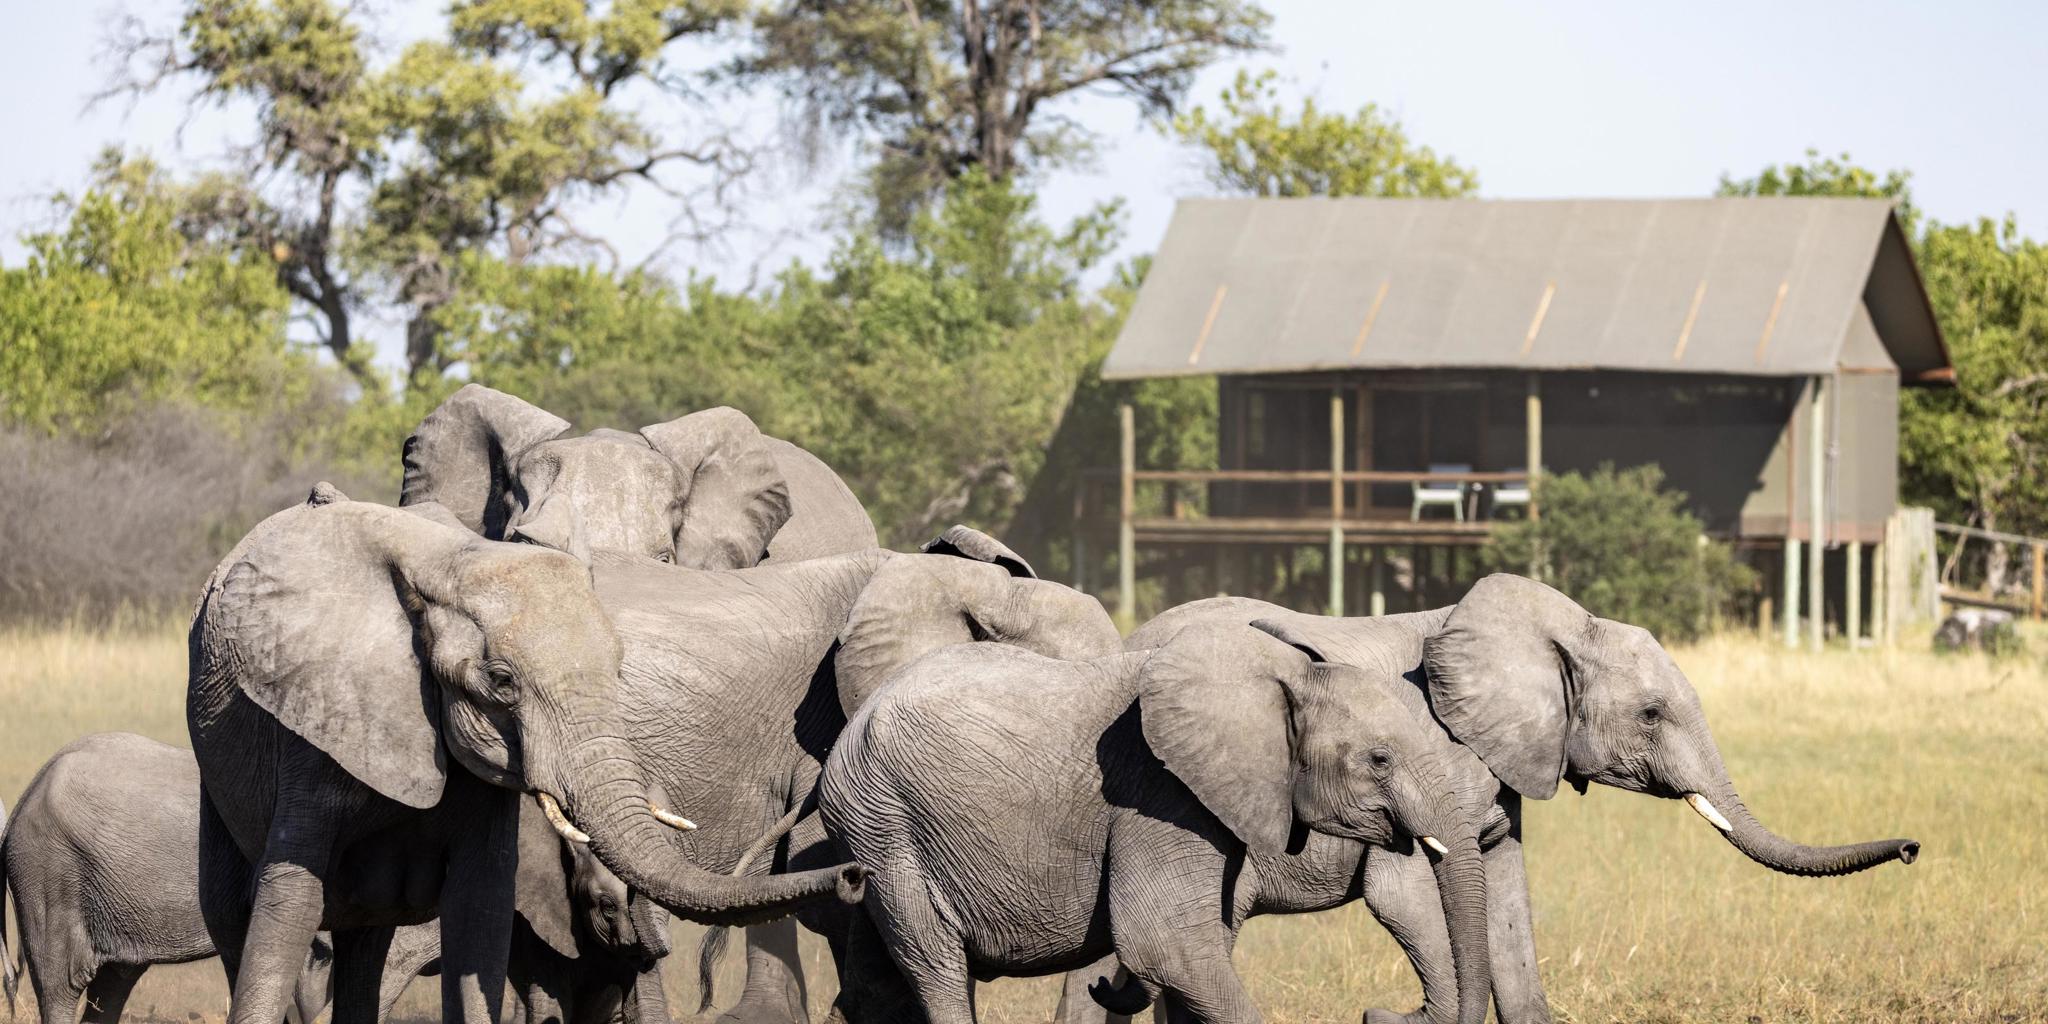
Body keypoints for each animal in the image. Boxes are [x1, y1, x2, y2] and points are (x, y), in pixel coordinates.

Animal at [186, 487, 866, 1024]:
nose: (854, 877)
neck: (445, 565)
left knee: (368, 947)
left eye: (619, 667)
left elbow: (480, 909)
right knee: (234, 916)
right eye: (502, 680)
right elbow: (287, 908)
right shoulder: (316, 720)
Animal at [816, 618, 1498, 1024]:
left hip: (877, 831)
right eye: (1380, 759)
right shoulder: (1158, 792)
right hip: (881, 820)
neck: (1281, 675)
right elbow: (1167, 944)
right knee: (936, 967)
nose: (1378, 1013)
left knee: (878, 982)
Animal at [1066, 577, 1920, 1024]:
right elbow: (1409, 891)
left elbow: (1508, 901)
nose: (1913, 847)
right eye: (1650, 715)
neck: (1554, 626)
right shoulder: (1430, 758)